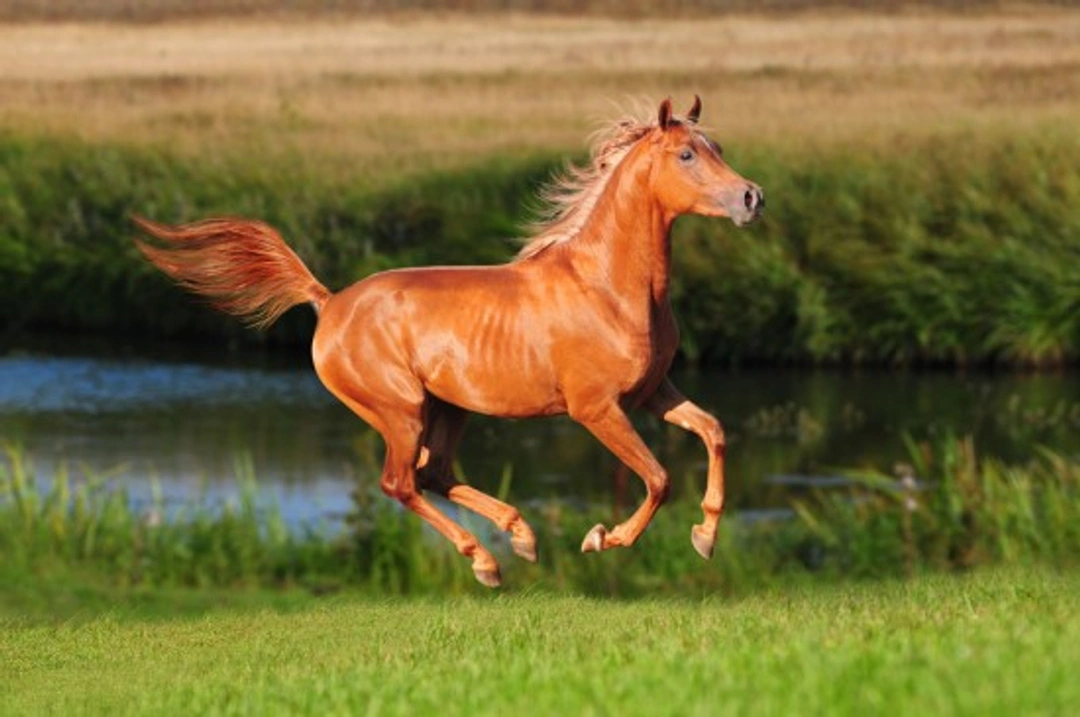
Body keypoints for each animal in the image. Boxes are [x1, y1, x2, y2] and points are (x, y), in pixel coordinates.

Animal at [134, 96, 764, 587]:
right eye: (687, 154)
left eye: (717, 146)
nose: (752, 198)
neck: (607, 286)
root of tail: (329, 302)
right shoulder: (596, 409)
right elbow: (658, 478)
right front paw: (601, 538)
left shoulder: (653, 392)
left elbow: (714, 431)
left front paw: (705, 536)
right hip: (401, 410)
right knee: (401, 482)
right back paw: (488, 560)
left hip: (449, 407)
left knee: (435, 473)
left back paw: (519, 538)